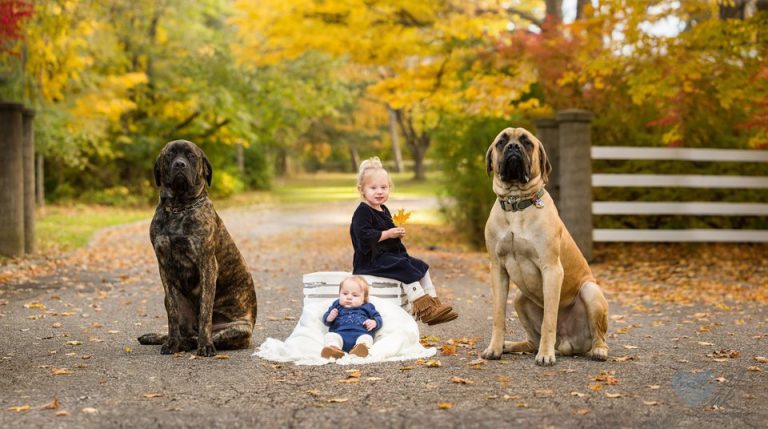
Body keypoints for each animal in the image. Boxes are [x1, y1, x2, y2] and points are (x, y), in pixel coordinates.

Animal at [136, 140, 256, 354]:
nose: (180, 164)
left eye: (191, 156)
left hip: (239, 329)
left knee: (202, 336)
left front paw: (205, 345)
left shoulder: (207, 264)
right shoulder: (164, 267)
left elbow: (205, 312)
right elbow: (172, 314)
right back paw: (162, 338)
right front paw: (171, 343)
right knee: (183, 331)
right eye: (170, 155)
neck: (178, 208)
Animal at [480, 127, 608, 364]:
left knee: (599, 335)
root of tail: (566, 344)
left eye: (527, 142)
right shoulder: (497, 269)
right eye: (502, 141)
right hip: (520, 299)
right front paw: (494, 348)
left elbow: (550, 318)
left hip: (590, 290)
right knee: (532, 341)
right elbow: (498, 316)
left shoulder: (551, 269)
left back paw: (598, 350)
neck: (516, 204)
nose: (513, 147)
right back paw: (510, 345)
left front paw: (546, 355)